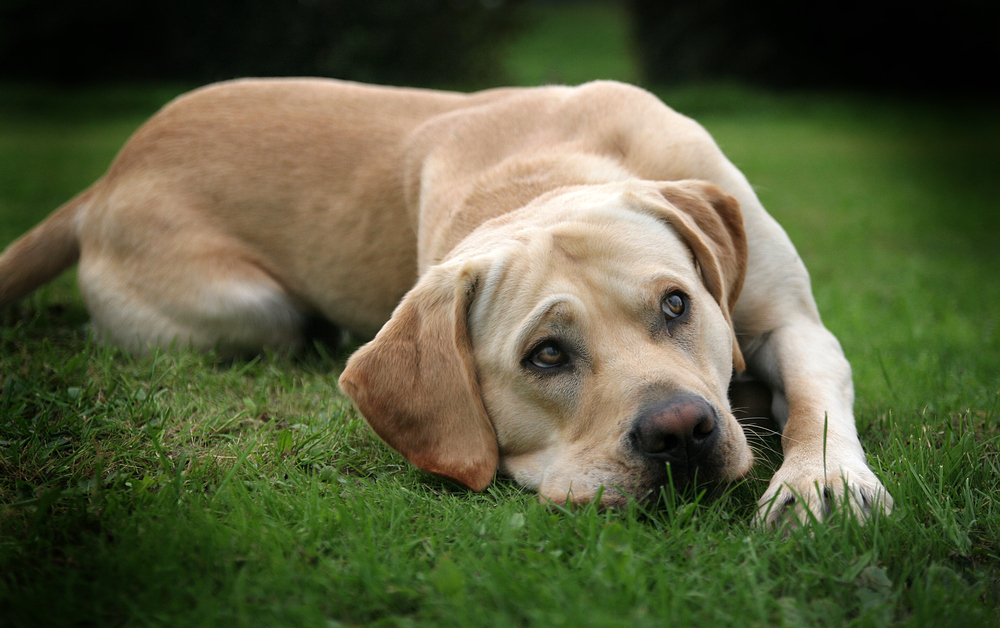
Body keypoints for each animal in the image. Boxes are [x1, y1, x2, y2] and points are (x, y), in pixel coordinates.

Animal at [0, 77, 892, 524]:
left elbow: (815, 399)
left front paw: (822, 484)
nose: (682, 430)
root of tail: (106, 176)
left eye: (677, 306)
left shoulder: (793, 324)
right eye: (546, 355)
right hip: (252, 306)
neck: (544, 172)